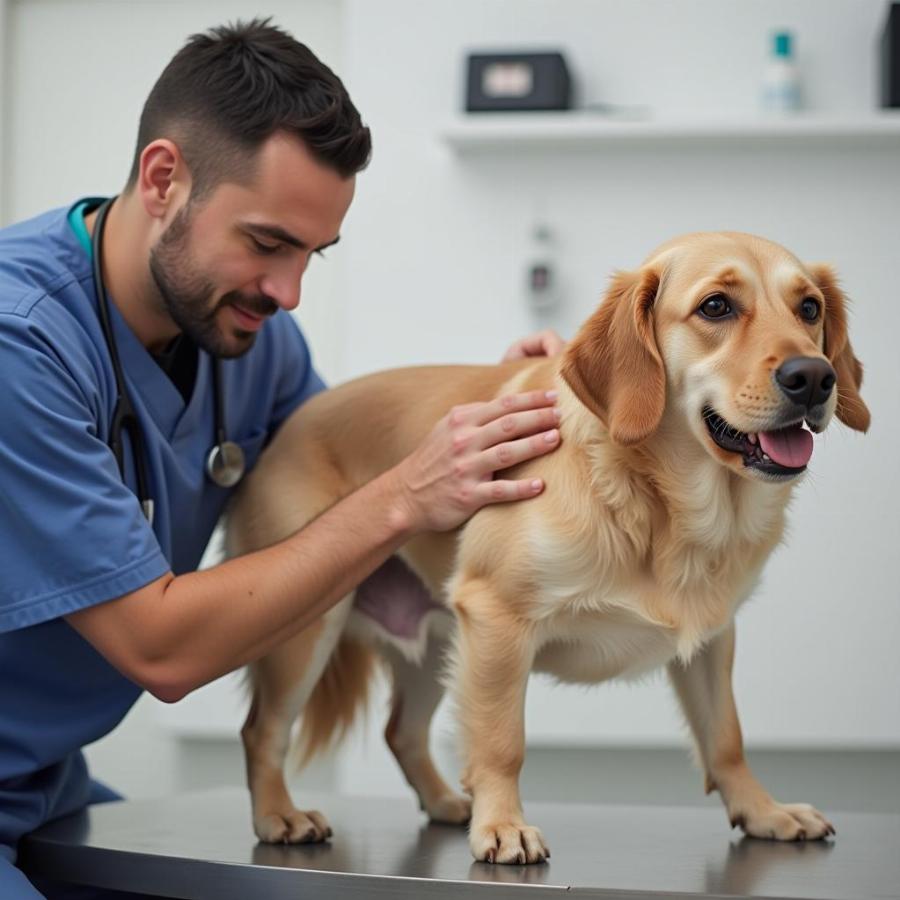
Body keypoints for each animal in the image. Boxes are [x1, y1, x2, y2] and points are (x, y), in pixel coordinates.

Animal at [229, 232, 868, 864]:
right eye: (716, 306)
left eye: (809, 308)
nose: (814, 378)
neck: (659, 504)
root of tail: (289, 426)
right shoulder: (496, 618)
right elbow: (501, 743)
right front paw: (502, 826)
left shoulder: (712, 637)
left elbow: (726, 738)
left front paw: (763, 811)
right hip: (307, 629)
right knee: (262, 730)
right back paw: (280, 814)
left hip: (438, 643)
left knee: (401, 732)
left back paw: (443, 801)